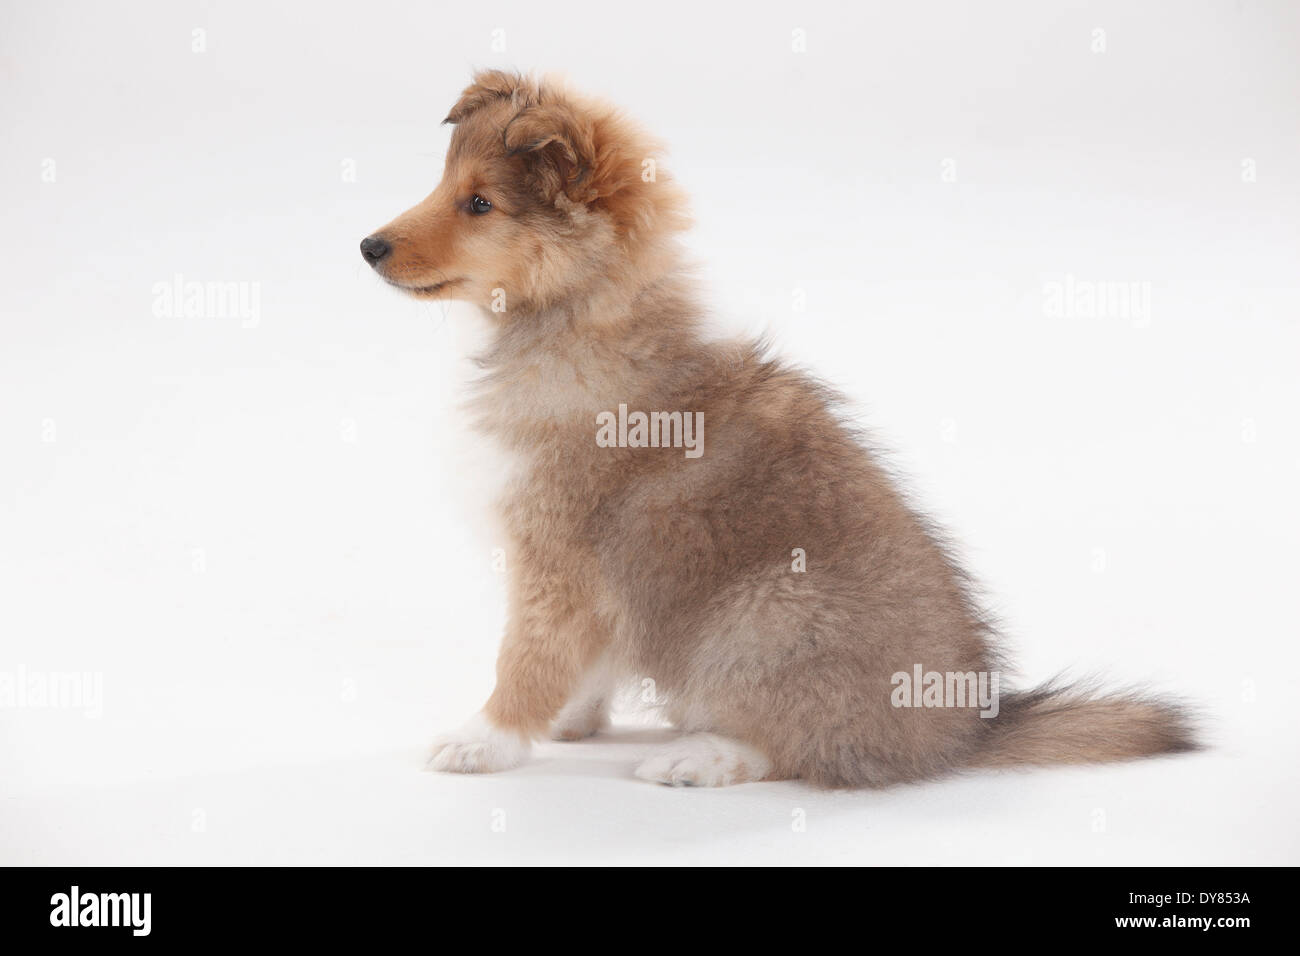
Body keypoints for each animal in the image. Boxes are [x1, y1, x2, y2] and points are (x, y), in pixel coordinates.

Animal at [361, 70, 1190, 790]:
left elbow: (523, 660)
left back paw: (698, 757)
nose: (368, 247)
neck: (575, 320)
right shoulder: (587, 582)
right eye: (444, 186)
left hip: (766, 611)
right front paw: (568, 721)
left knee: (796, 743)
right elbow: (583, 661)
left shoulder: (554, 560)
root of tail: (961, 735)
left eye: (479, 204)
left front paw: (484, 739)